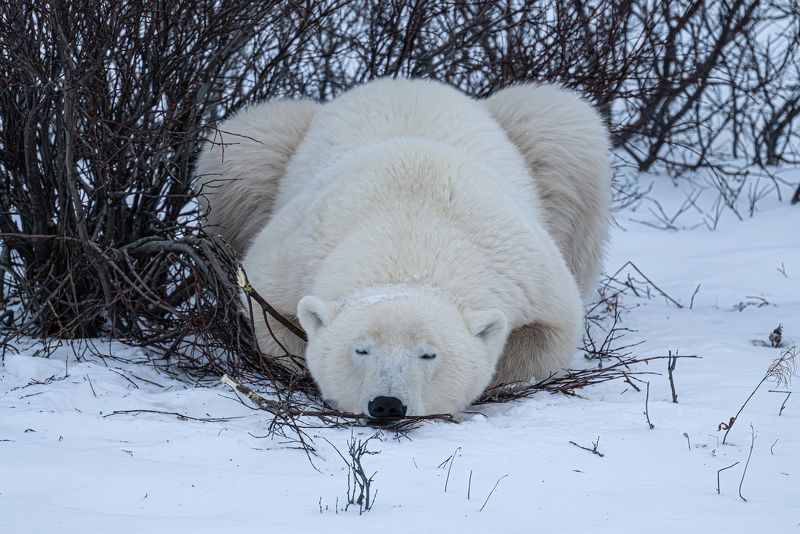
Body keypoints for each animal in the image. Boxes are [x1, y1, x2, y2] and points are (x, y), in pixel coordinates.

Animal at [196, 78, 611, 418]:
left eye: (428, 353)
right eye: (361, 349)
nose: (387, 404)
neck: (411, 236)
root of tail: (405, 79)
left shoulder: (523, 265)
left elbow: (548, 336)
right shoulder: (298, 251)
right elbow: (273, 319)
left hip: (548, 142)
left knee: (562, 127)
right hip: (256, 153)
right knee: (239, 151)